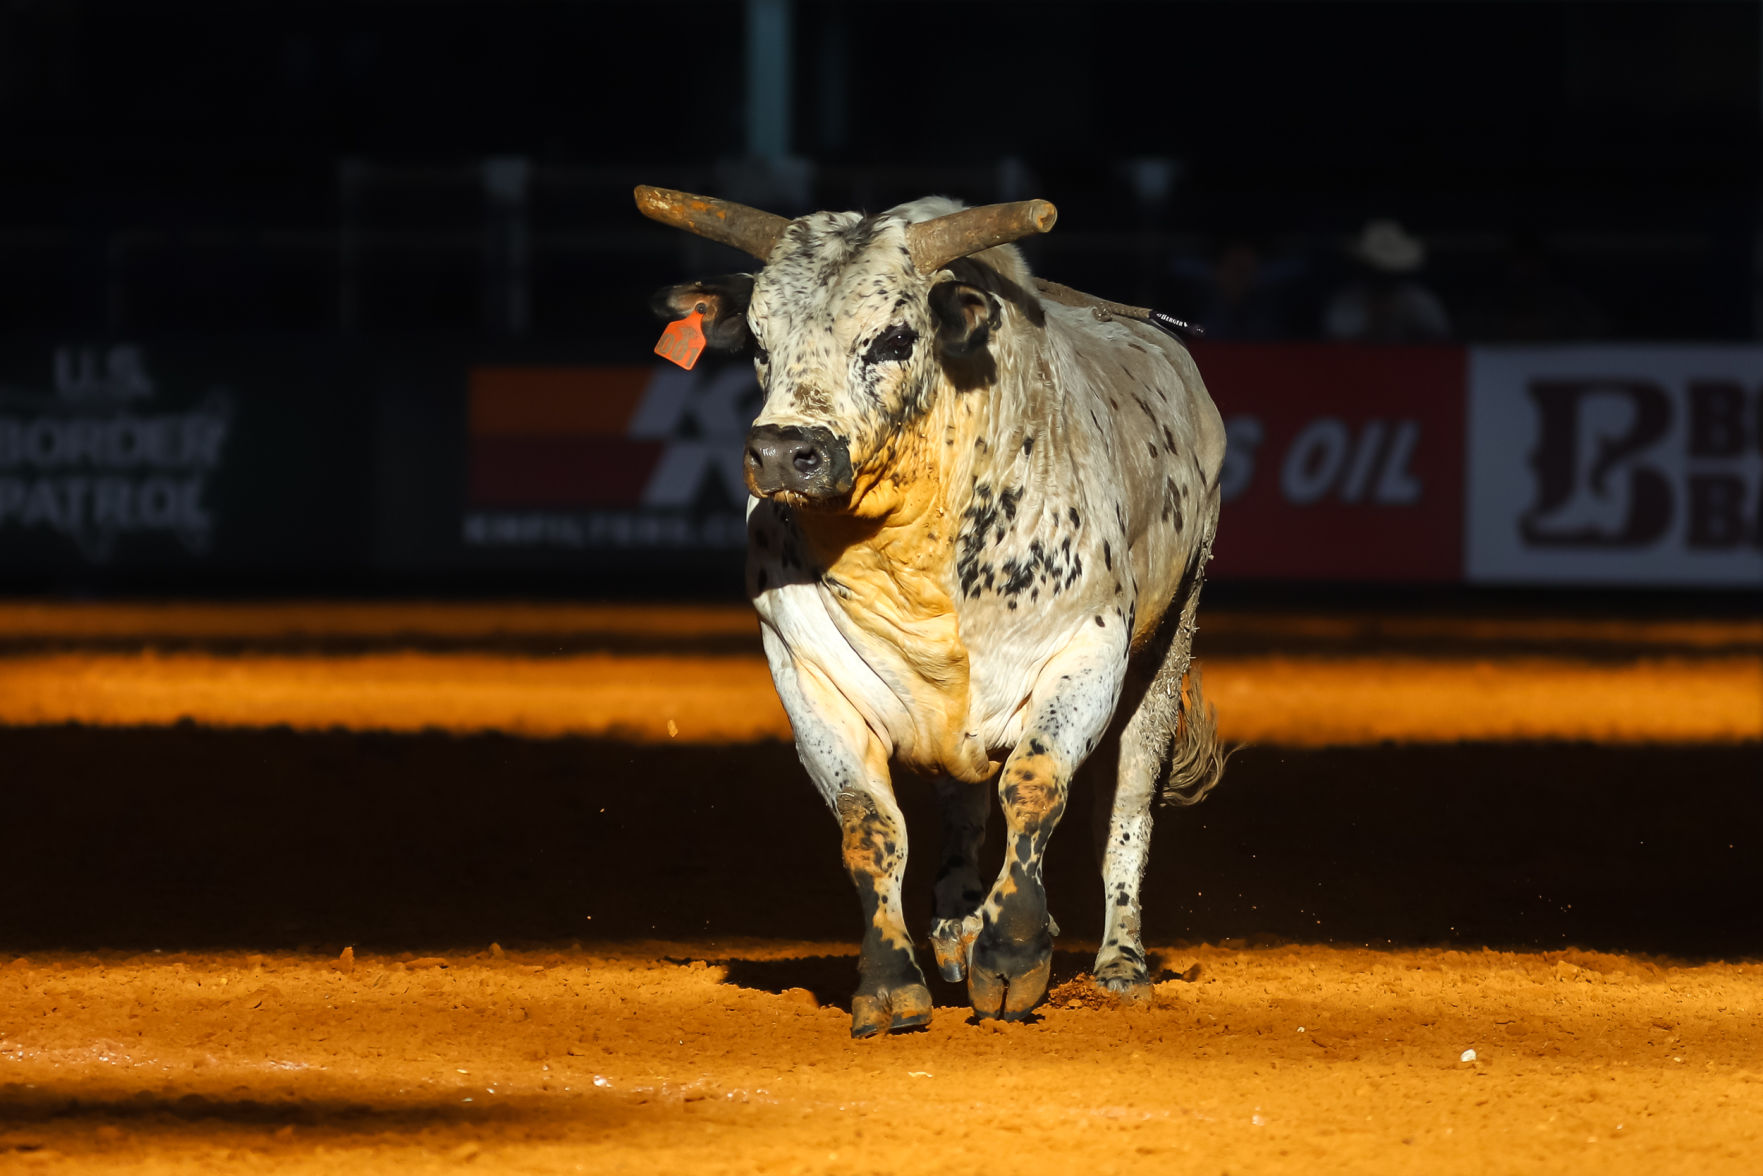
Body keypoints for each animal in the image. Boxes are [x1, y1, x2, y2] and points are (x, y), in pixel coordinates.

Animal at [641, 179, 1234, 1036]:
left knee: (1124, 804)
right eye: (757, 339)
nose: (784, 452)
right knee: (962, 800)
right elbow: (869, 824)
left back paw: (1118, 963)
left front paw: (1012, 956)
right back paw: (955, 926)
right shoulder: (807, 675)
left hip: (1168, 645)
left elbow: (1036, 784)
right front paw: (892, 983)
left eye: (892, 337)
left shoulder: (1084, 653)